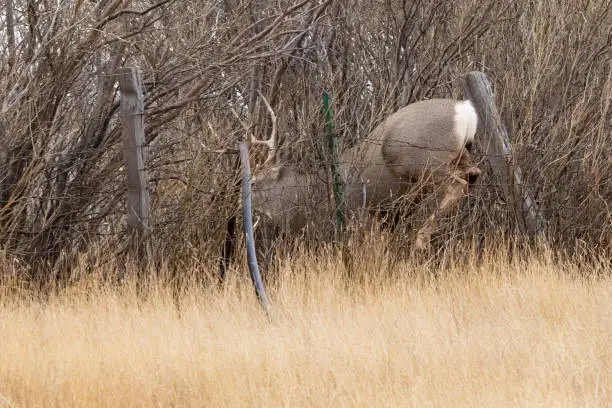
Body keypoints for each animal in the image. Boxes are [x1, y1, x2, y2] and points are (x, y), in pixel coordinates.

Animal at [246, 96, 480, 252]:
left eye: (253, 183)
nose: (241, 203)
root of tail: (465, 111)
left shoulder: (358, 216)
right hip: (457, 157)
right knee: (473, 173)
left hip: (420, 159)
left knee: (457, 184)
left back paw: (421, 238)